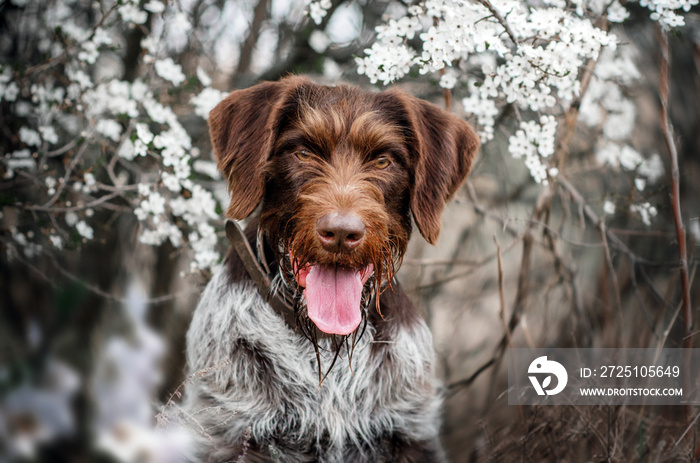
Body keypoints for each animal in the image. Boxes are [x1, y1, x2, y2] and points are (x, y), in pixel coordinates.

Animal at [183, 74, 478, 462]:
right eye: (303, 153)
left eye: (383, 160)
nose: (340, 233)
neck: (326, 340)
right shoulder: (230, 433)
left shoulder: (409, 434)